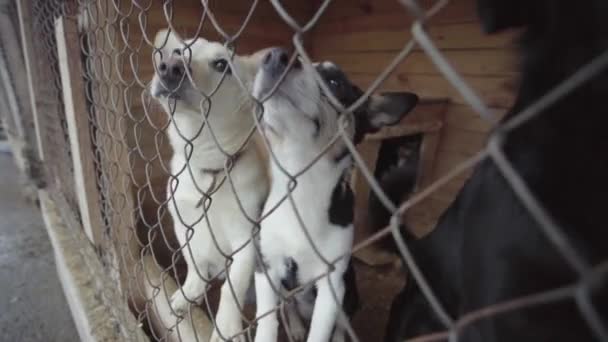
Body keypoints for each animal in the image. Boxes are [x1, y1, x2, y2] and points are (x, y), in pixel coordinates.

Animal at [150, 30, 268, 342]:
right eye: (178, 51)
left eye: (221, 65)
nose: (169, 67)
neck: (208, 168)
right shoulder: (183, 224)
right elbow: (194, 263)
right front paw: (189, 293)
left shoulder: (245, 241)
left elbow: (232, 287)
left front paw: (226, 327)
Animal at [251, 48, 418, 342]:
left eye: (334, 82)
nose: (276, 56)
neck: (302, 181)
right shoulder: (266, 267)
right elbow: (267, 322)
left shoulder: (332, 286)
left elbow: (321, 331)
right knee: (288, 305)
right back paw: (296, 327)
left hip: (349, 293)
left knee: (340, 325)